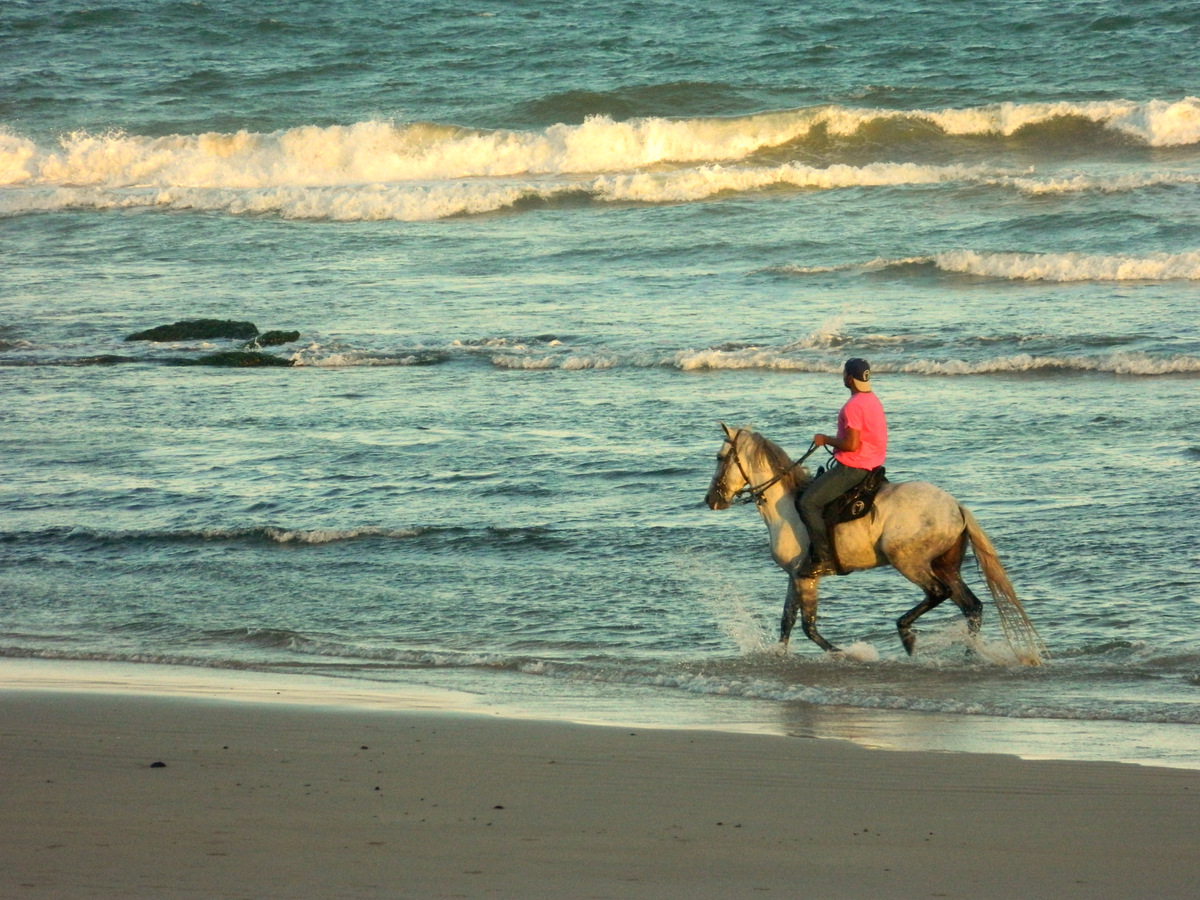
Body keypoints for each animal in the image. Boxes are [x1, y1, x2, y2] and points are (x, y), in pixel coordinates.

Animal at [704, 424, 1047, 664]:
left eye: (720, 458)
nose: (711, 500)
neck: (786, 505)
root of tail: (956, 507)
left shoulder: (806, 577)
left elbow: (808, 627)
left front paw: (846, 653)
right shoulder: (795, 575)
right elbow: (787, 621)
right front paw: (778, 656)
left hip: (907, 560)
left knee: (939, 593)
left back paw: (907, 634)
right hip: (946, 565)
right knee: (972, 607)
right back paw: (969, 654)